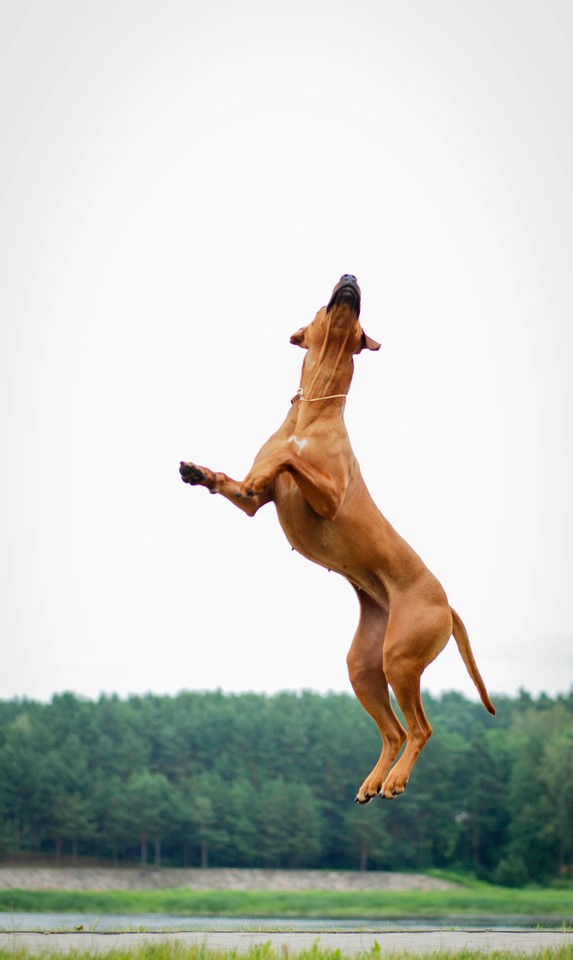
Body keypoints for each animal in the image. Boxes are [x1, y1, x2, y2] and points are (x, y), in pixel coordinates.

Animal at [181, 274, 494, 800]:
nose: (350, 277)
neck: (314, 407)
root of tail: (446, 603)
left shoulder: (327, 494)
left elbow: (288, 459)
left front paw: (273, 462)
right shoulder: (251, 503)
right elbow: (241, 482)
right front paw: (199, 472)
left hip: (401, 657)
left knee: (420, 728)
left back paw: (396, 780)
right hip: (364, 666)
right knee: (393, 731)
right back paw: (373, 781)